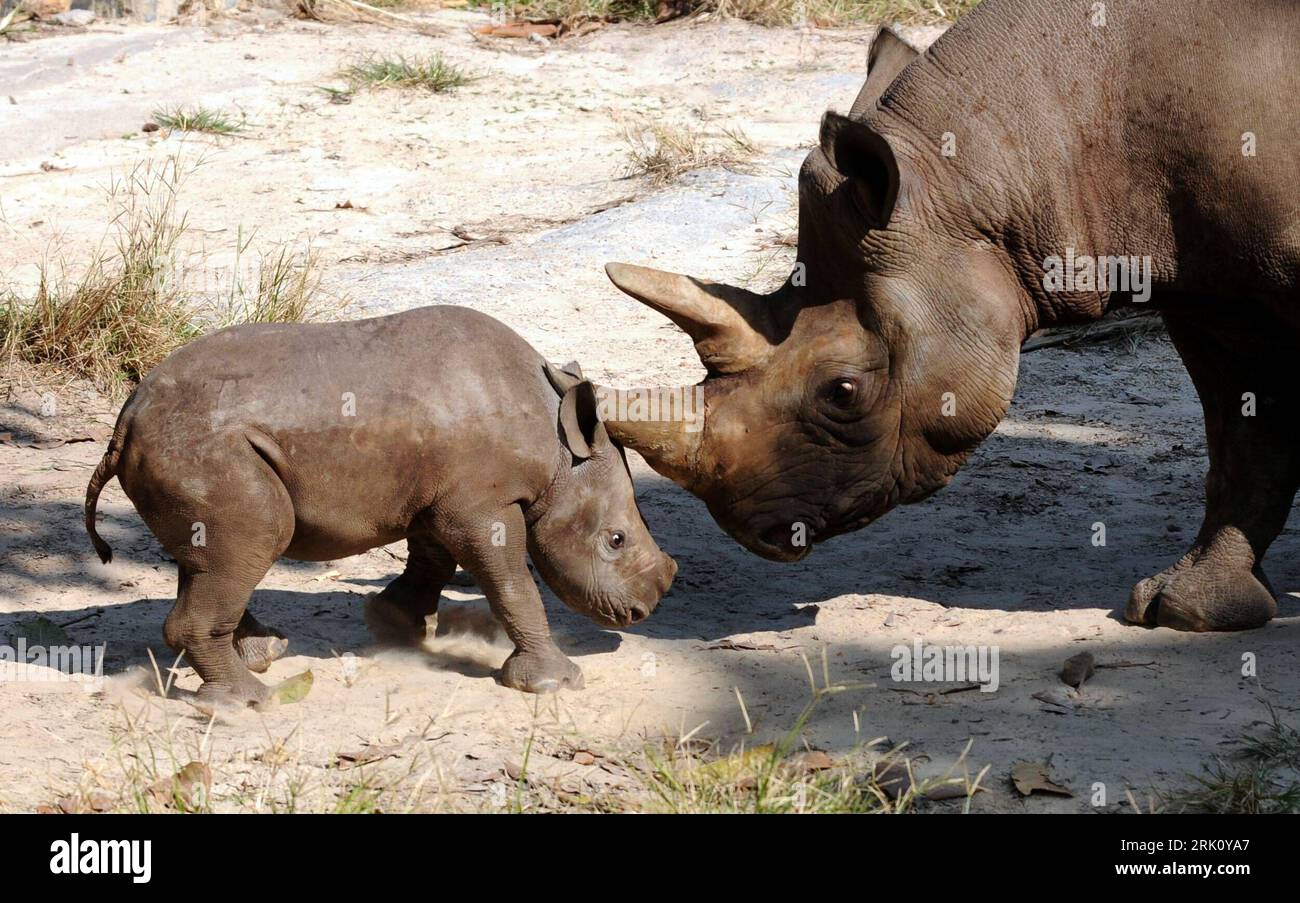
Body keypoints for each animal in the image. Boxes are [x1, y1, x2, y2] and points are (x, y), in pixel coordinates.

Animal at [85, 306, 676, 707]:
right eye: (615, 540)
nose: (643, 610)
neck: (558, 454)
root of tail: (125, 420)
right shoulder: (479, 505)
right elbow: (513, 584)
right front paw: (557, 683)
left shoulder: (442, 499)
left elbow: (434, 559)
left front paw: (396, 625)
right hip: (202, 449)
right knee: (254, 540)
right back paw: (247, 701)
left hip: (187, 454)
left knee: (214, 555)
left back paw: (264, 656)